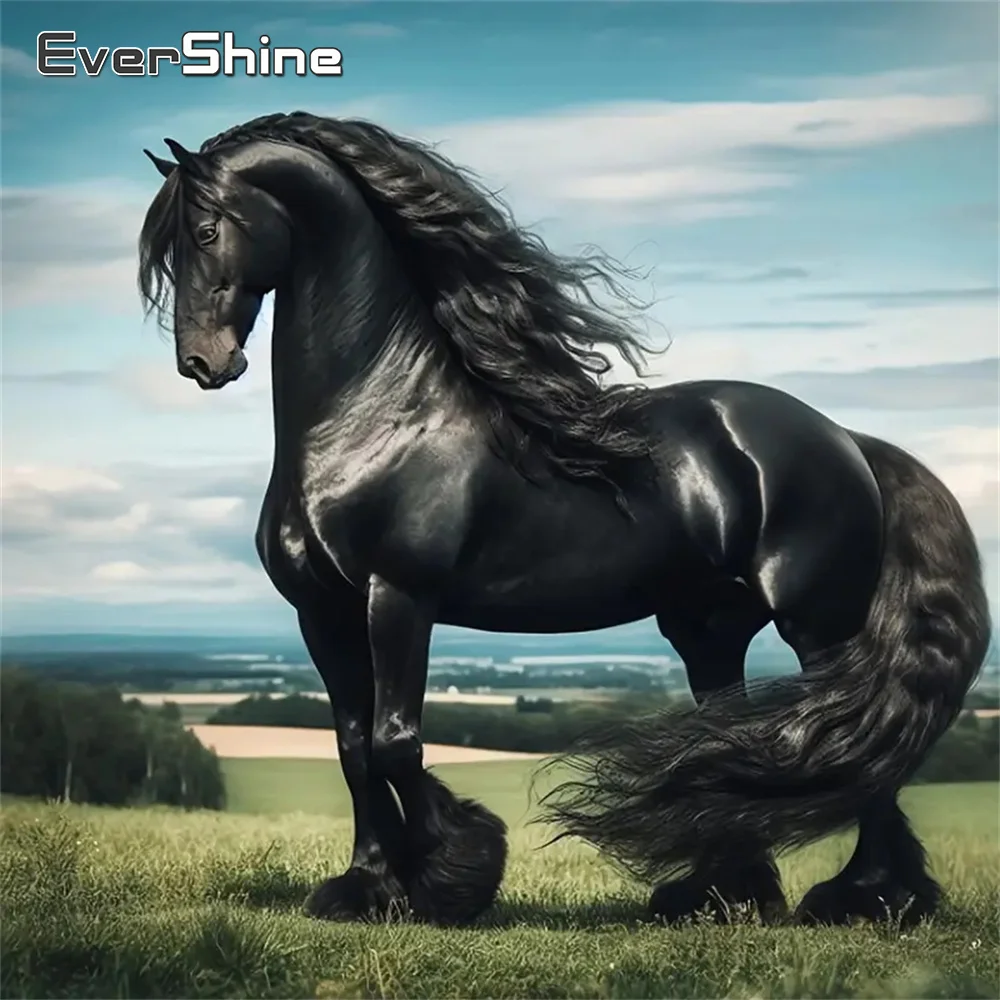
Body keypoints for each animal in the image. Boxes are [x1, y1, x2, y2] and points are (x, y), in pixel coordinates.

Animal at [137, 111, 990, 930]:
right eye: (167, 253)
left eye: (206, 230)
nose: (203, 364)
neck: (375, 416)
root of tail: (850, 442)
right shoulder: (323, 609)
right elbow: (352, 748)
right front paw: (367, 888)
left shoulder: (398, 596)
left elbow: (394, 742)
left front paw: (456, 877)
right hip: (708, 628)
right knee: (737, 737)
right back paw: (723, 897)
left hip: (818, 626)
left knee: (852, 746)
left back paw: (866, 900)